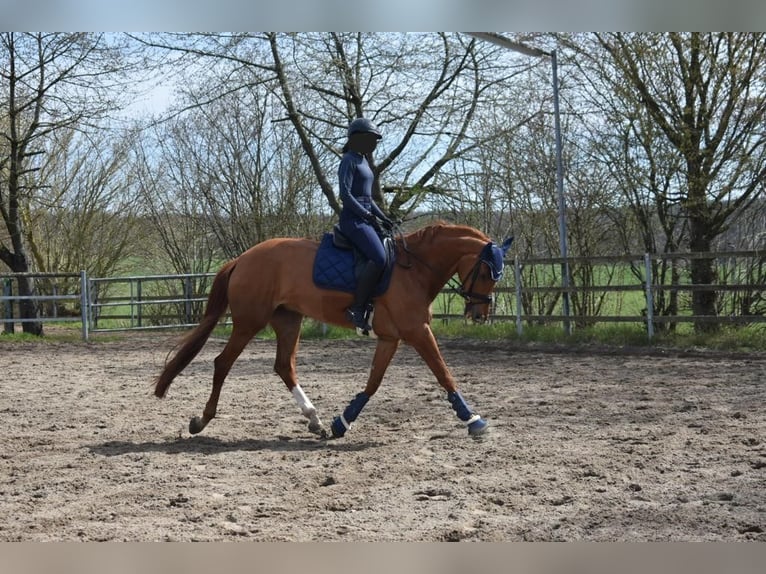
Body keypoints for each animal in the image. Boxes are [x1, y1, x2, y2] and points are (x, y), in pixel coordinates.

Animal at [151, 223, 512, 438]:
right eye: (487, 273)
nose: (479, 314)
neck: (415, 271)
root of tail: (242, 258)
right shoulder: (417, 331)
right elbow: (443, 373)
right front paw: (473, 420)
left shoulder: (391, 337)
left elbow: (373, 383)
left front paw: (342, 422)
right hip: (249, 322)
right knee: (223, 363)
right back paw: (201, 420)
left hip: (288, 320)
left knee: (284, 366)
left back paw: (315, 419)